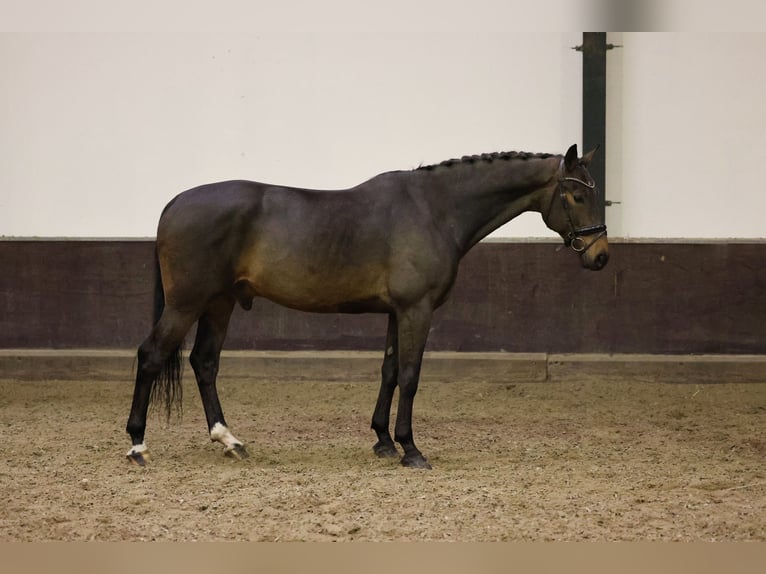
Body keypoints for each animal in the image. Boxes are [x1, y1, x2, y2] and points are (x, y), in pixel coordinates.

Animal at [126, 143, 608, 469]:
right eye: (577, 195)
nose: (600, 256)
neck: (434, 209)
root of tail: (174, 203)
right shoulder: (417, 310)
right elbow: (410, 376)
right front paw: (410, 448)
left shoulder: (397, 312)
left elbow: (390, 371)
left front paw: (383, 441)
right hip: (187, 303)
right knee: (151, 356)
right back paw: (137, 445)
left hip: (220, 303)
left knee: (205, 362)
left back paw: (229, 440)